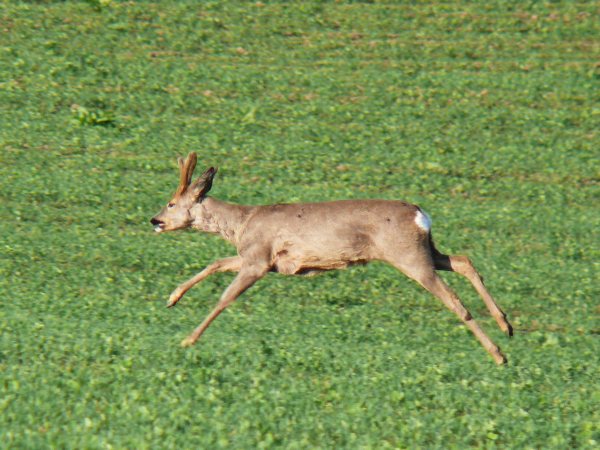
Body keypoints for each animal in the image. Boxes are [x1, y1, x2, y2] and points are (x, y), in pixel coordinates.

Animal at [150, 153, 510, 364]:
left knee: (453, 299)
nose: (154, 221)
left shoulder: (257, 260)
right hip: (426, 251)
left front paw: (189, 339)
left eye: (171, 203)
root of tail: (421, 215)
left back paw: (499, 354)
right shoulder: (260, 258)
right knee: (463, 261)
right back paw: (506, 326)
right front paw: (172, 298)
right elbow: (214, 264)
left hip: (409, 256)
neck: (242, 224)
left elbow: (225, 298)